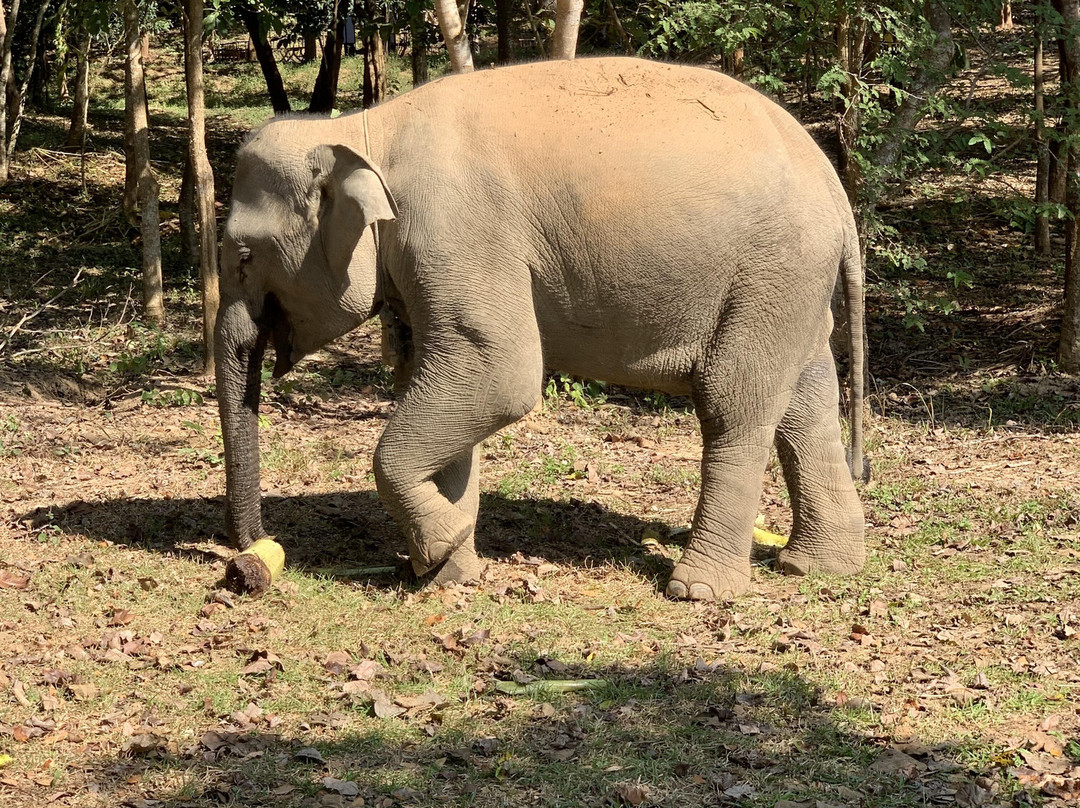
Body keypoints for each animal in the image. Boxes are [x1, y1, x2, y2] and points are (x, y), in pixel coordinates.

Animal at [216, 56, 866, 601]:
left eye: (243, 256)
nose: (252, 559)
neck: (364, 128)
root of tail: (835, 189)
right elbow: (446, 383)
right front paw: (447, 572)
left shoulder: (456, 234)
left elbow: (499, 376)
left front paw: (441, 546)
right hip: (793, 287)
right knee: (807, 401)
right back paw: (816, 567)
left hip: (770, 273)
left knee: (735, 404)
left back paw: (697, 590)